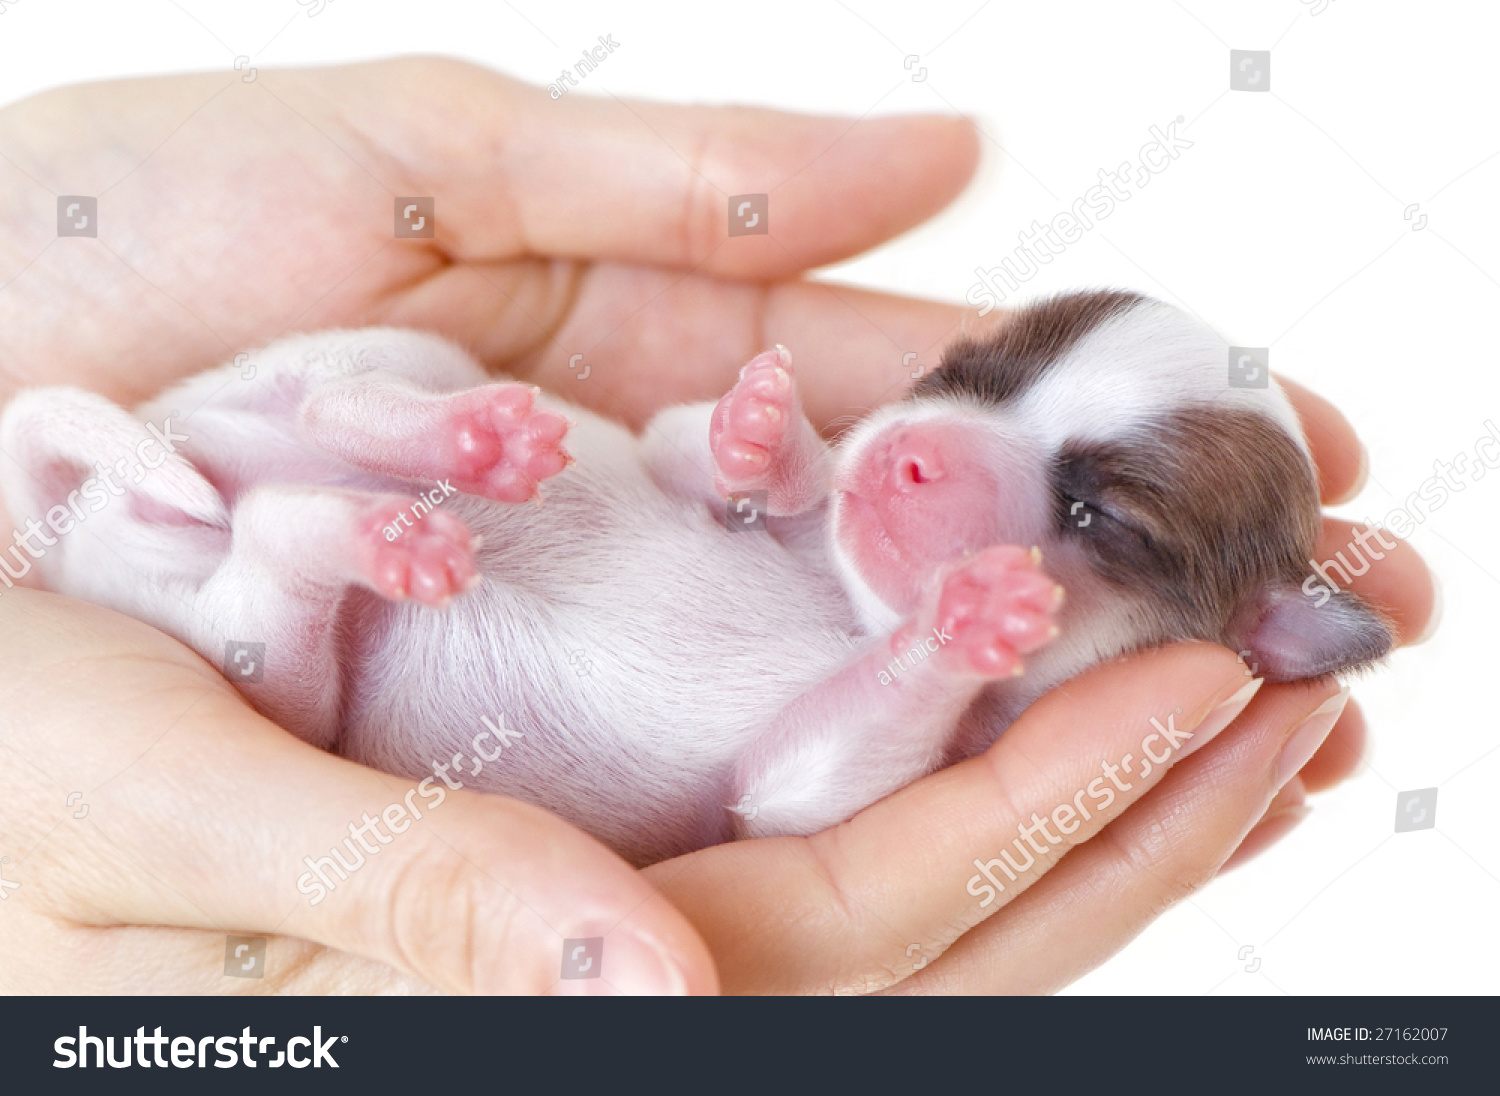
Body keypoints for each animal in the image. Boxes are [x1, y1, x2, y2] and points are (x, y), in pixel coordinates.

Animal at [0, 289, 1386, 863]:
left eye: (1098, 515)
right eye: (965, 373)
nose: (912, 453)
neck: (841, 599)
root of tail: (77, 525)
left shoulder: (822, 784)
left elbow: (806, 775)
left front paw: (970, 616)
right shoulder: (698, 469)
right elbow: (684, 448)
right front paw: (766, 433)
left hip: (263, 666)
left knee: (283, 550)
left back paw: (383, 529)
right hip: (351, 367)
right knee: (342, 398)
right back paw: (462, 446)